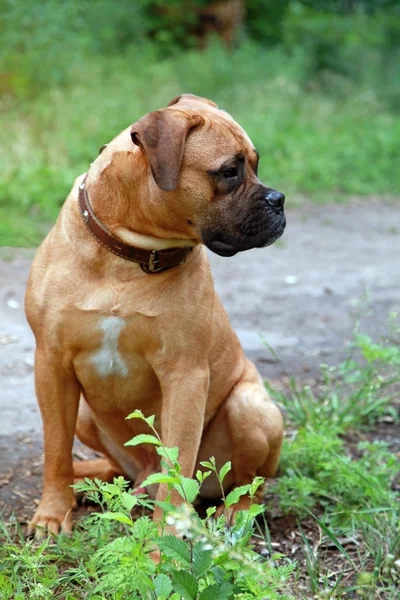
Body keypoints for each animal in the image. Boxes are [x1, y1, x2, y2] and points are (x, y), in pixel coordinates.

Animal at [25, 95, 286, 540]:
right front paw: (52, 512)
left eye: (255, 164)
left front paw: (166, 537)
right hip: (86, 415)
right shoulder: (52, 364)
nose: (279, 199)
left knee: (251, 484)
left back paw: (232, 513)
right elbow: (55, 450)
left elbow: (177, 461)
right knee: (117, 467)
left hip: (251, 407)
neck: (127, 256)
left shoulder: (185, 375)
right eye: (229, 171)